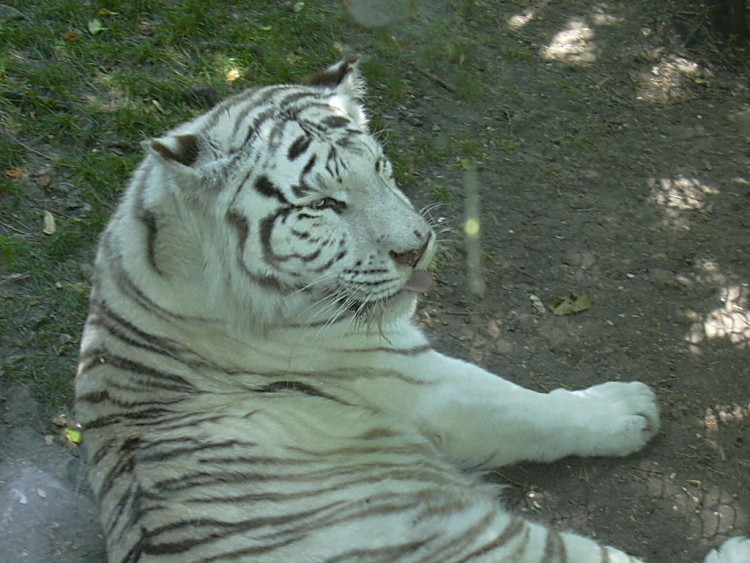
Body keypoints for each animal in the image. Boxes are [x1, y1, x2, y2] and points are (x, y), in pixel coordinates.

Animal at [76, 58, 750, 563]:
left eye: (380, 167)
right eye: (323, 203)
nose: (416, 246)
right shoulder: (409, 379)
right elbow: (526, 407)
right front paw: (627, 408)